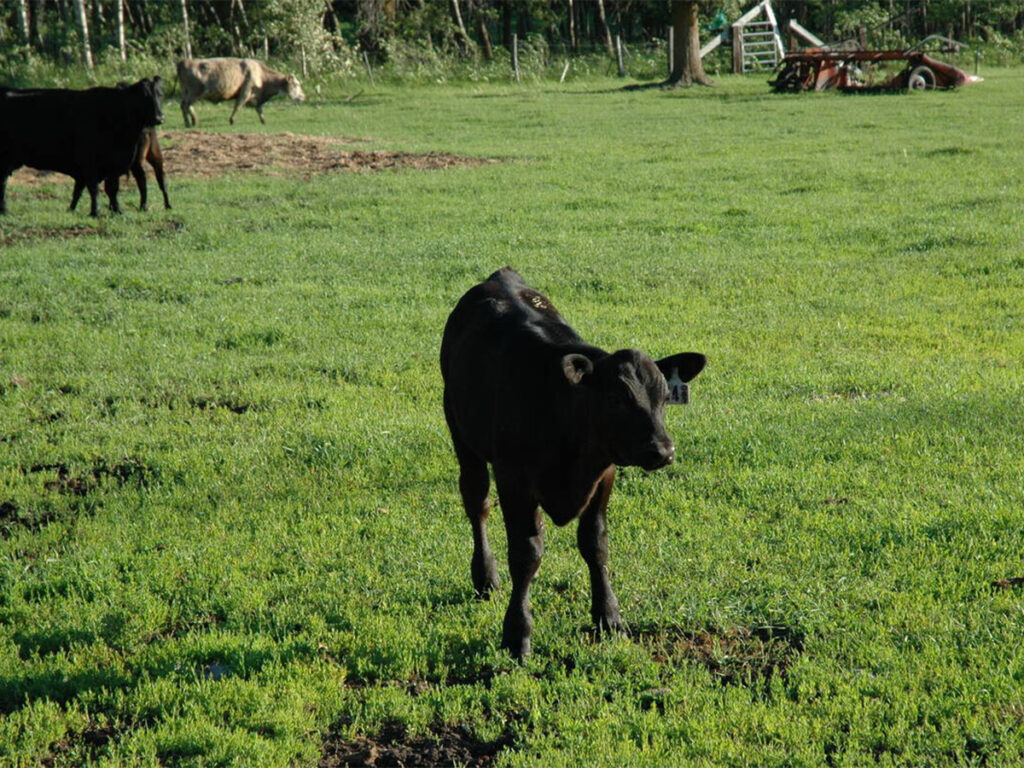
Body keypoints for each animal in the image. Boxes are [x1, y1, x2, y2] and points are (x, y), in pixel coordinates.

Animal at [0, 78, 164, 216]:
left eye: (159, 94)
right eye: (144, 96)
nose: (159, 118)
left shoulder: (114, 165)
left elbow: (111, 189)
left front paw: (117, 210)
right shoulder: (89, 161)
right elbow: (93, 189)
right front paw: (95, 212)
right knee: (2, 183)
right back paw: (4, 210)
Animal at [176, 58, 305, 127]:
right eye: (296, 84)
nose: (304, 96)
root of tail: (185, 61)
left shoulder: (256, 97)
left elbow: (259, 109)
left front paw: (264, 121)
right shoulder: (245, 91)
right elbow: (238, 105)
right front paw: (232, 120)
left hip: (187, 92)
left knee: (185, 105)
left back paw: (192, 121)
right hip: (195, 92)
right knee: (185, 105)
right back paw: (190, 122)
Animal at [441, 268, 706, 658]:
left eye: (663, 396)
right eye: (616, 398)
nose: (663, 450)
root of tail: (500, 276)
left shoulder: (604, 472)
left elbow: (595, 543)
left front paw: (609, 617)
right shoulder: (513, 478)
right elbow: (525, 553)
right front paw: (517, 633)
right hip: (461, 433)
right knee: (477, 502)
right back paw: (485, 577)